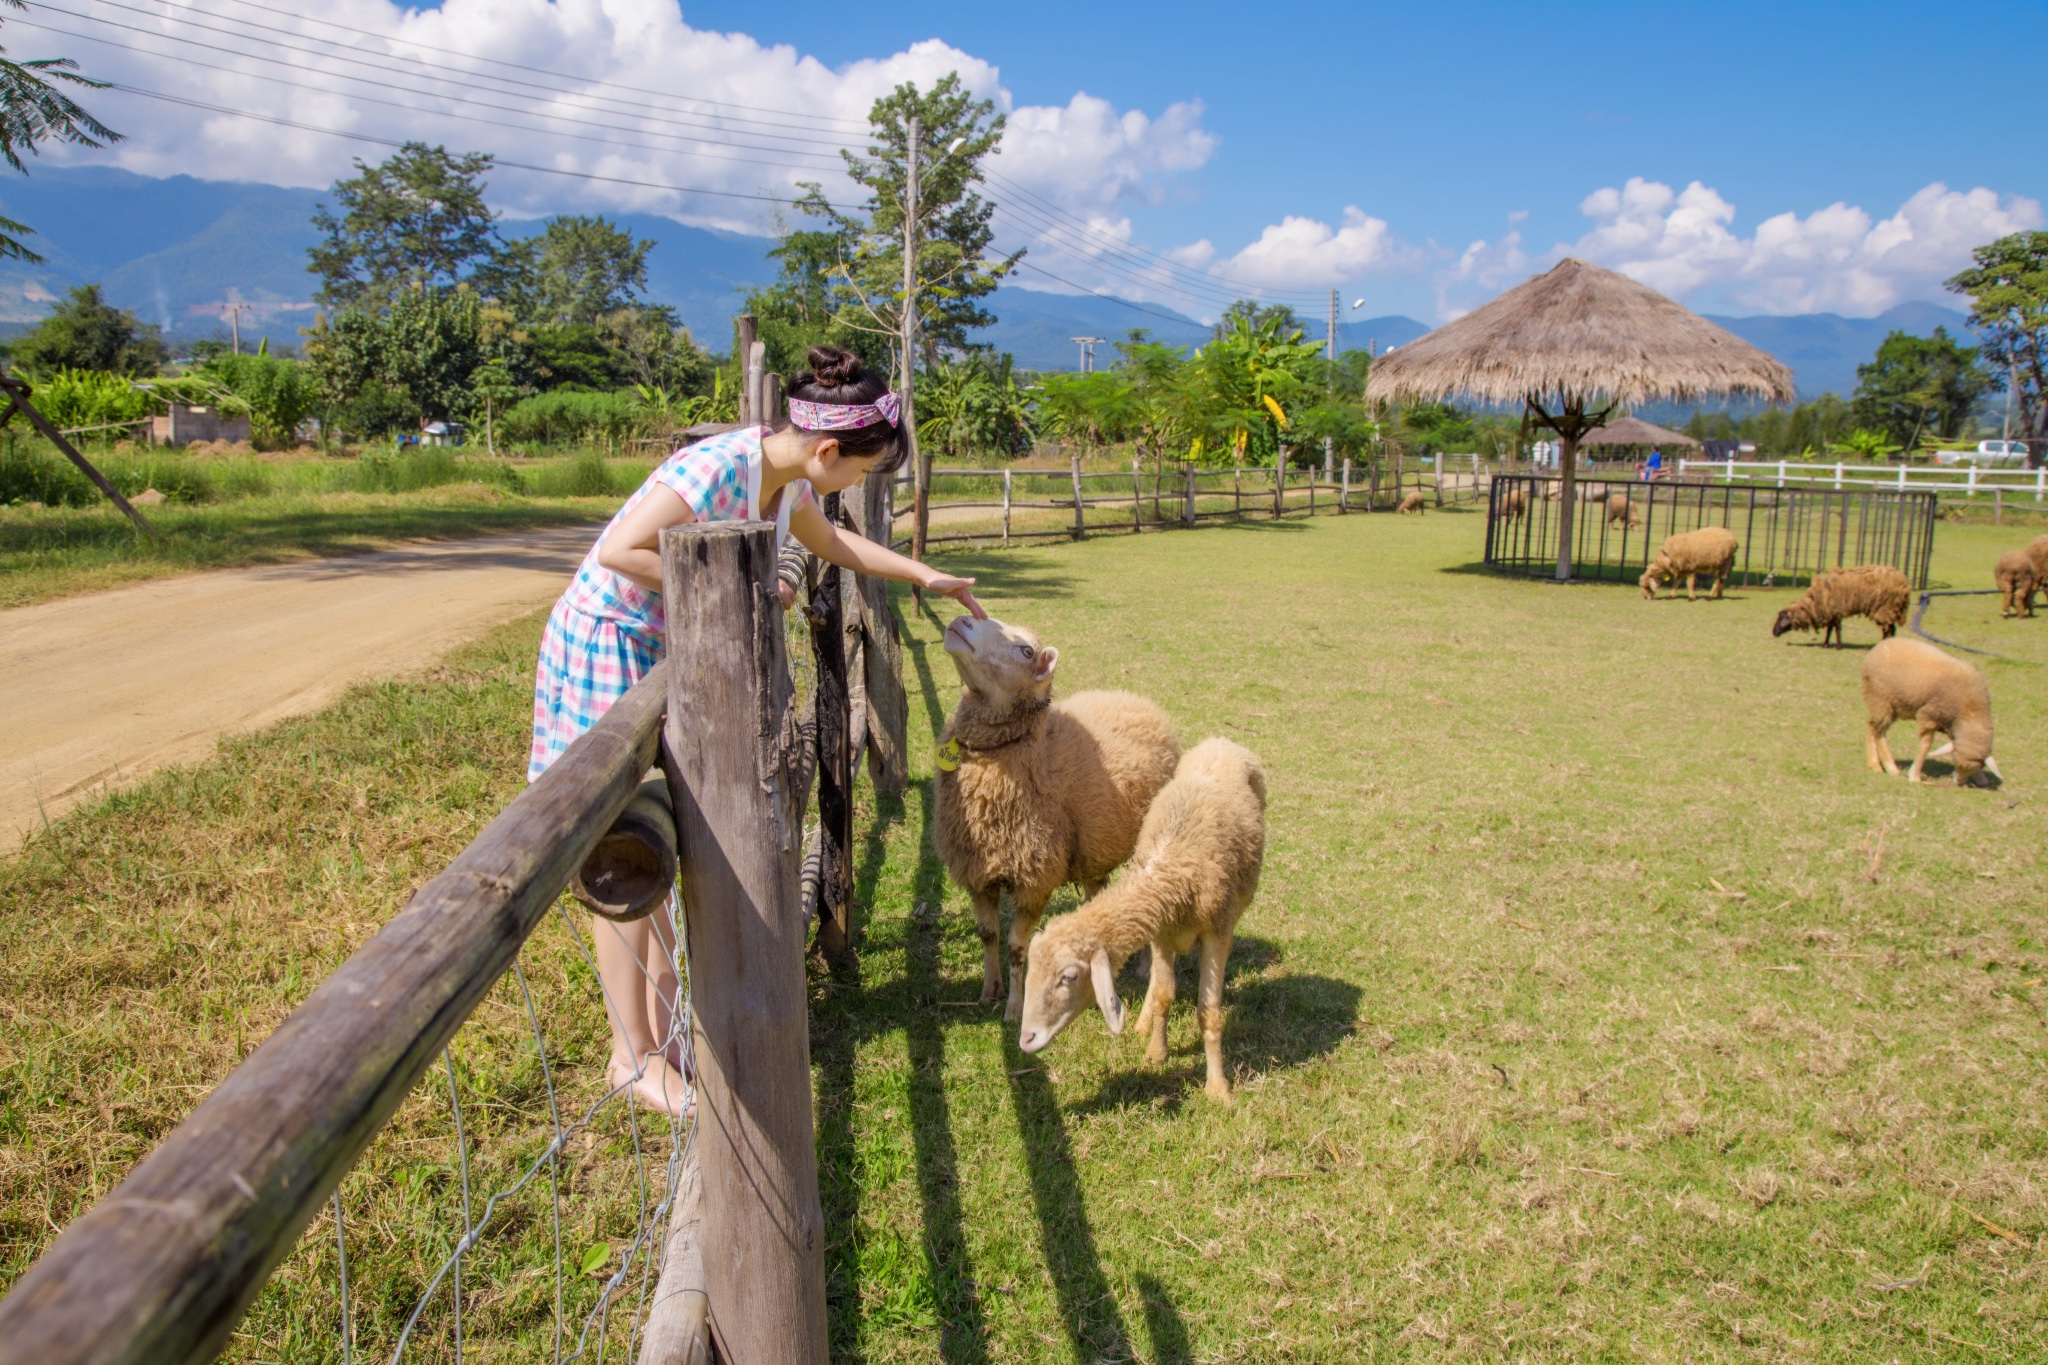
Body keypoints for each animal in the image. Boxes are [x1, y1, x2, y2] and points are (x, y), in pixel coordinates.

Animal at [1011, 740, 1261, 1105]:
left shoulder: (1215, 933)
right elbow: (1163, 993)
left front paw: (1218, 1088)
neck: (1171, 865)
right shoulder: (1163, 934)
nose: (1026, 1039)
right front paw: (1156, 1052)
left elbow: (1209, 1012)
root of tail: (1221, 742)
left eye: (1069, 976)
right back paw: (1144, 1022)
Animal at [1769, 564, 1908, 650]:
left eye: (1782, 620)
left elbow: (1836, 629)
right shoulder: (1831, 613)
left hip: (1884, 608)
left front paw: (1838, 646)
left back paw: (1883, 644)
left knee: (1888, 628)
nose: (1774, 633)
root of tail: (1904, 584)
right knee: (1890, 628)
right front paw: (1826, 644)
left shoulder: (1835, 611)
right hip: (1887, 610)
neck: (1814, 604)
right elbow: (1830, 629)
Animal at [1859, 634, 1998, 785]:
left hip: (1886, 705)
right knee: (1879, 731)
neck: (1970, 710)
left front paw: (1981, 779)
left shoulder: (1950, 726)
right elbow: (1926, 744)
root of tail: (1882, 644)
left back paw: (1876, 765)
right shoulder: (1928, 715)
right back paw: (1888, 767)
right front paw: (1914, 775)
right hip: (1881, 700)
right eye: (1954, 759)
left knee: (1872, 727)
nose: (1957, 783)